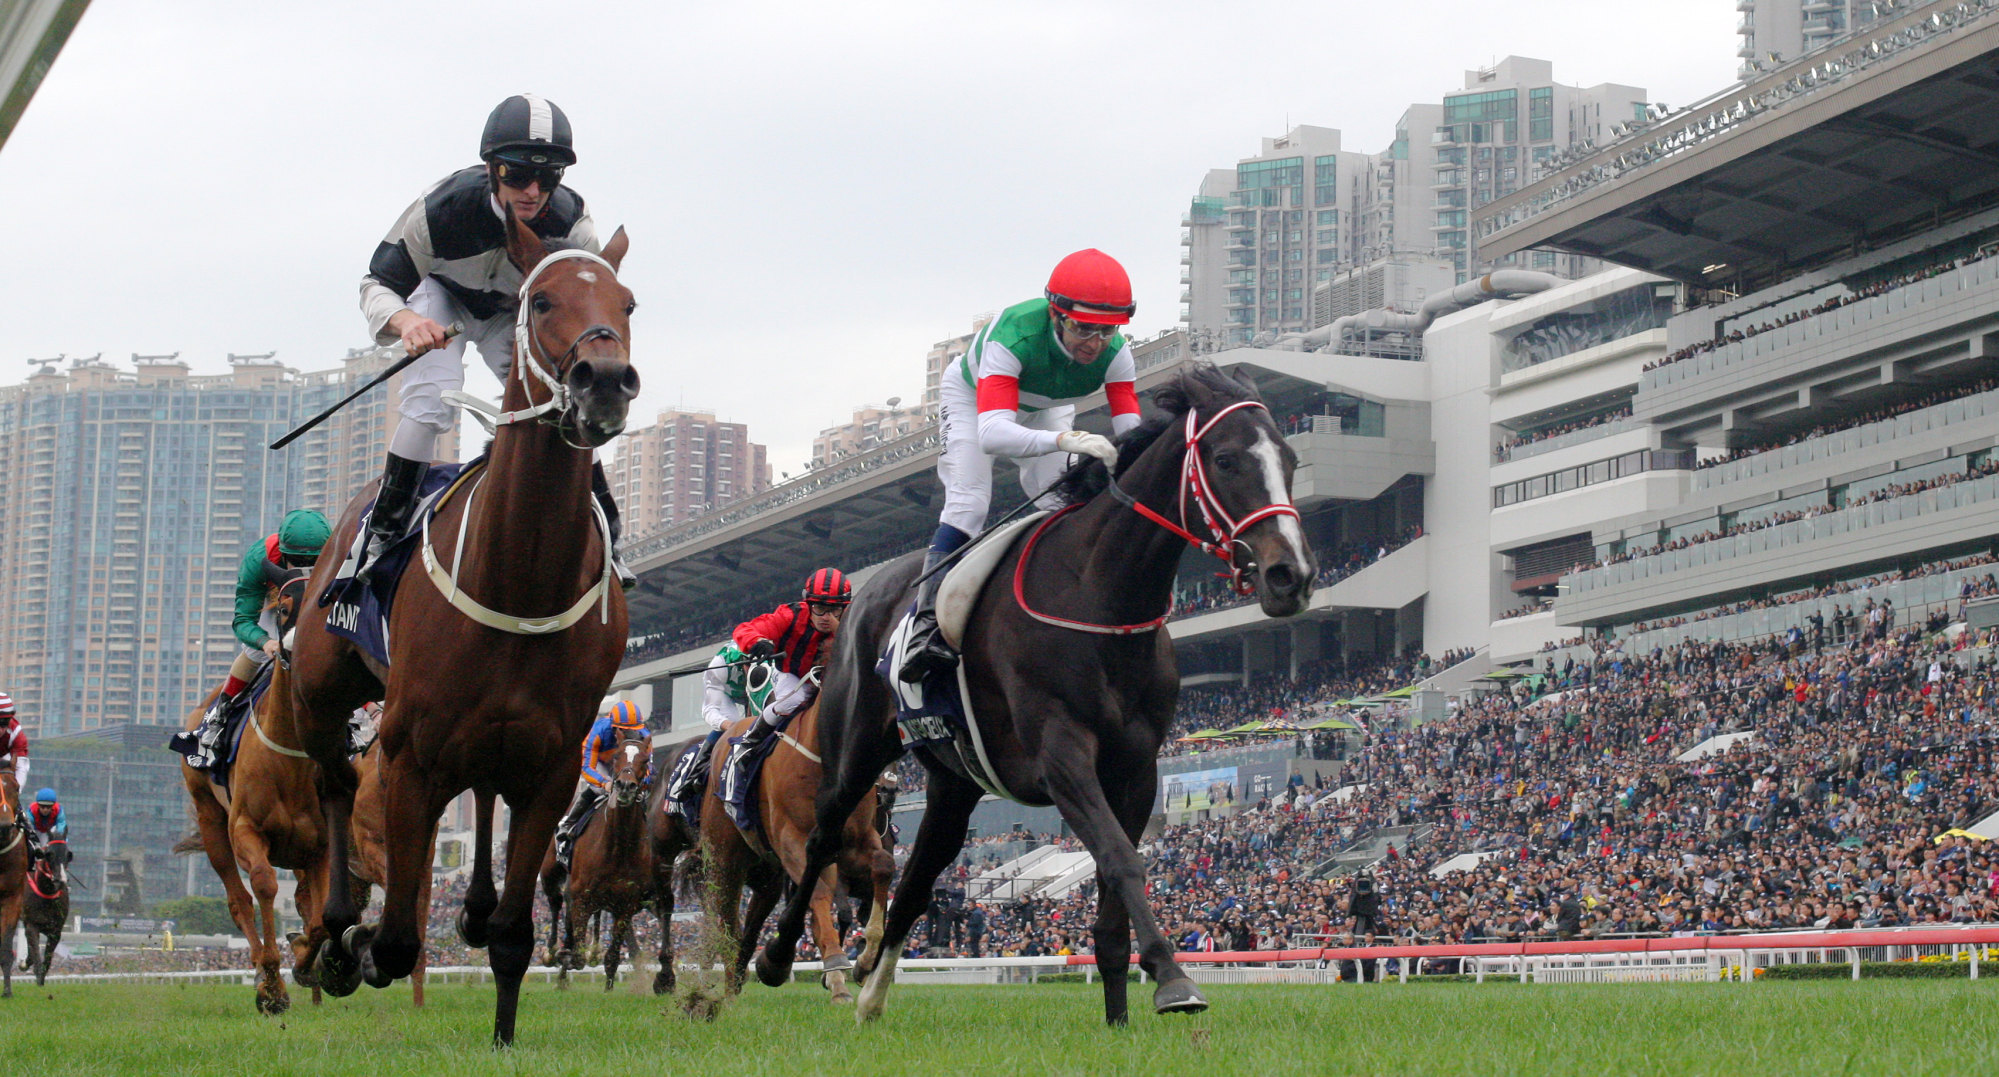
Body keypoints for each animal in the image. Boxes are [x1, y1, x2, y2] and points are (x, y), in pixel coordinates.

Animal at [176, 575, 331, 1015]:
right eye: (283, 608)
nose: (296, 650)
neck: (289, 755)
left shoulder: (321, 844)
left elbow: (320, 920)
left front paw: (305, 963)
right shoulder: (246, 828)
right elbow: (263, 886)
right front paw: (273, 987)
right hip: (210, 821)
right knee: (238, 900)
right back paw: (263, 975)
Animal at [287, 210, 631, 1047]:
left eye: (629, 302)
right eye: (542, 301)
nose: (605, 380)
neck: (520, 572)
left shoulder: (553, 764)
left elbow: (512, 932)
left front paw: (503, 1033)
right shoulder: (408, 750)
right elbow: (395, 938)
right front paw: (355, 945)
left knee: (478, 797)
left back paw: (464, 909)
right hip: (320, 692)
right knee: (334, 781)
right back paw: (337, 931)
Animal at [539, 727, 655, 991]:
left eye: (645, 760)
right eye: (617, 757)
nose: (624, 786)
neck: (618, 845)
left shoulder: (625, 904)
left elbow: (612, 956)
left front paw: (608, 987)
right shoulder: (581, 895)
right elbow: (576, 953)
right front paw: (567, 956)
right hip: (551, 873)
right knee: (555, 903)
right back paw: (552, 954)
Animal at [699, 703, 895, 1007]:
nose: (887, 789)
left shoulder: (853, 844)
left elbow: (883, 868)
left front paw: (863, 963)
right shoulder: (794, 841)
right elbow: (823, 900)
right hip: (724, 854)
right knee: (726, 912)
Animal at [751, 363, 1311, 1031]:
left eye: (1291, 458)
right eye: (1225, 460)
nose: (1291, 576)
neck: (1099, 594)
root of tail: (868, 592)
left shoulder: (1136, 768)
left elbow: (1113, 883)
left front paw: (1121, 1013)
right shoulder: (1061, 756)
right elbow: (1121, 859)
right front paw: (1174, 981)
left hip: (954, 782)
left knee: (916, 881)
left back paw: (870, 993)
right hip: (855, 749)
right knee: (821, 840)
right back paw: (779, 959)